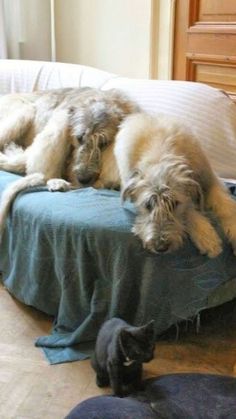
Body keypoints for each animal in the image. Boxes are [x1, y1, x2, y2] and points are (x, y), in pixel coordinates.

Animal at [114, 111, 236, 258]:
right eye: (148, 205)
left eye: (174, 203)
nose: (160, 247)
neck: (160, 154)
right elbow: (189, 208)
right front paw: (205, 235)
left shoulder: (210, 180)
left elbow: (227, 207)